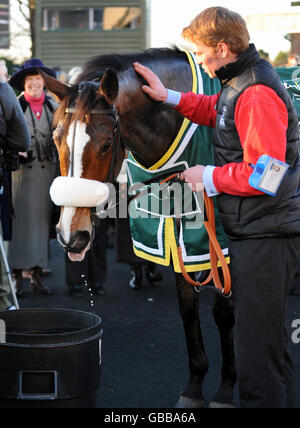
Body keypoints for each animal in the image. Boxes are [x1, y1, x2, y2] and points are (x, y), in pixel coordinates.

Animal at [44, 47, 237, 408]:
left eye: (106, 144)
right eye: (56, 140)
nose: (71, 234)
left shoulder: (226, 245)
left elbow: (224, 311)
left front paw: (227, 389)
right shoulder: (179, 237)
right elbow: (188, 309)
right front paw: (193, 387)